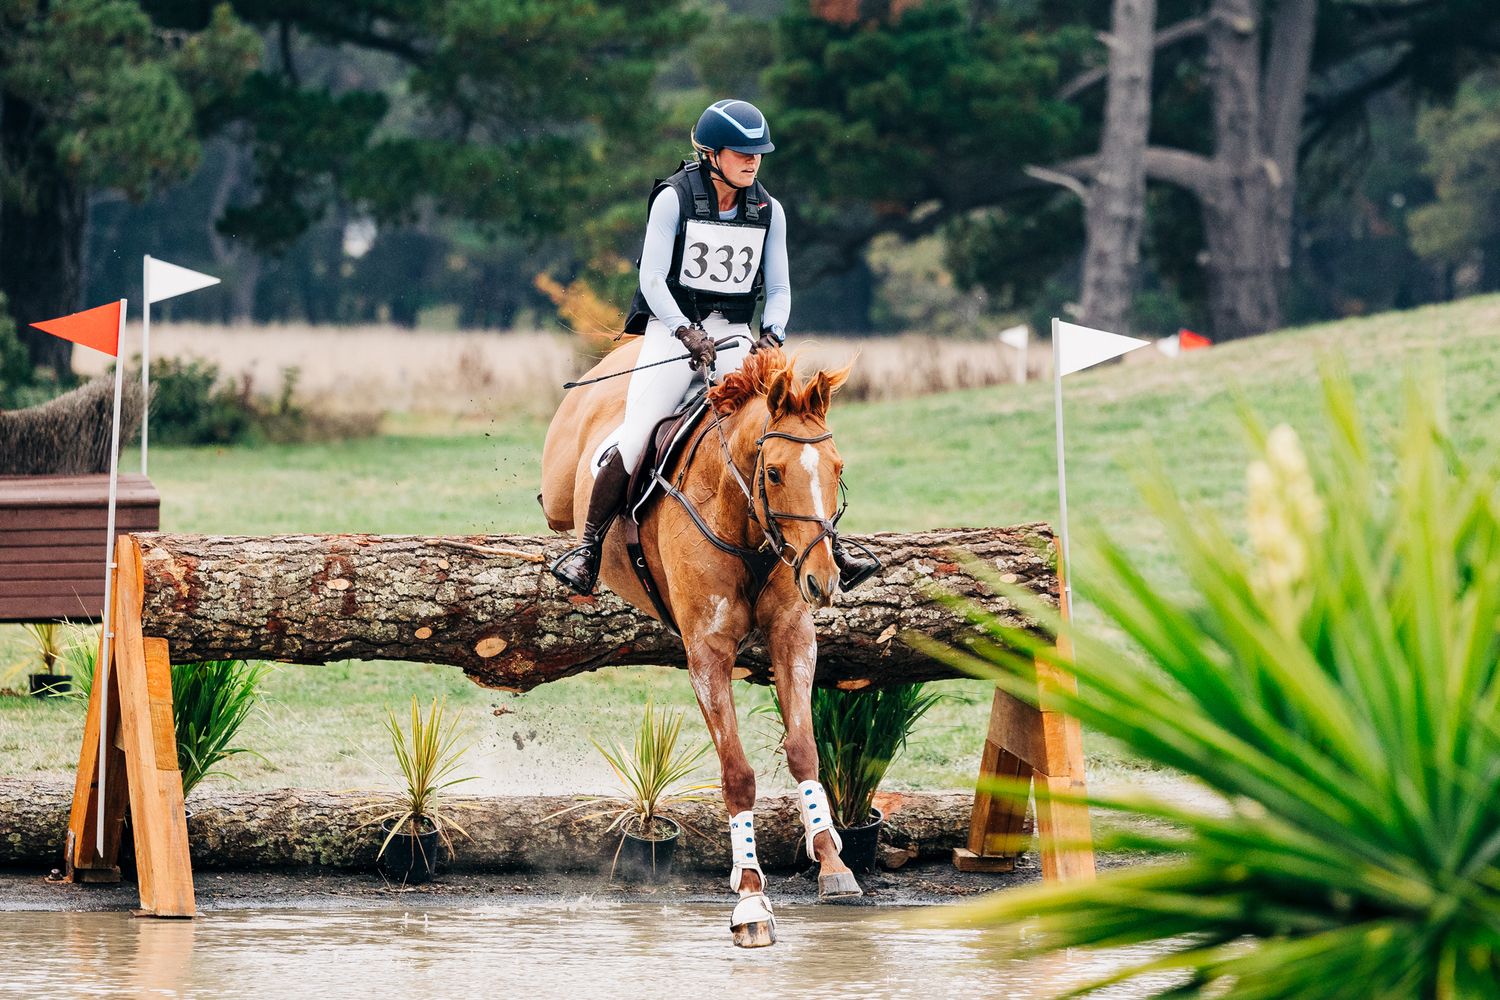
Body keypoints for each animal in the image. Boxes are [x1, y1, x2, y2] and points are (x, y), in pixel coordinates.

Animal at [540, 340, 862, 948]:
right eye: (775, 472)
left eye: (837, 469)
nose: (823, 581)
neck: (745, 526)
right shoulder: (708, 653)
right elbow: (737, 773)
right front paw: (751, 900)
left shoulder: (792, 633)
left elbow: (803, 749)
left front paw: (832, 862)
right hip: (559, 489)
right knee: (565, 502)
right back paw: (579, 558)